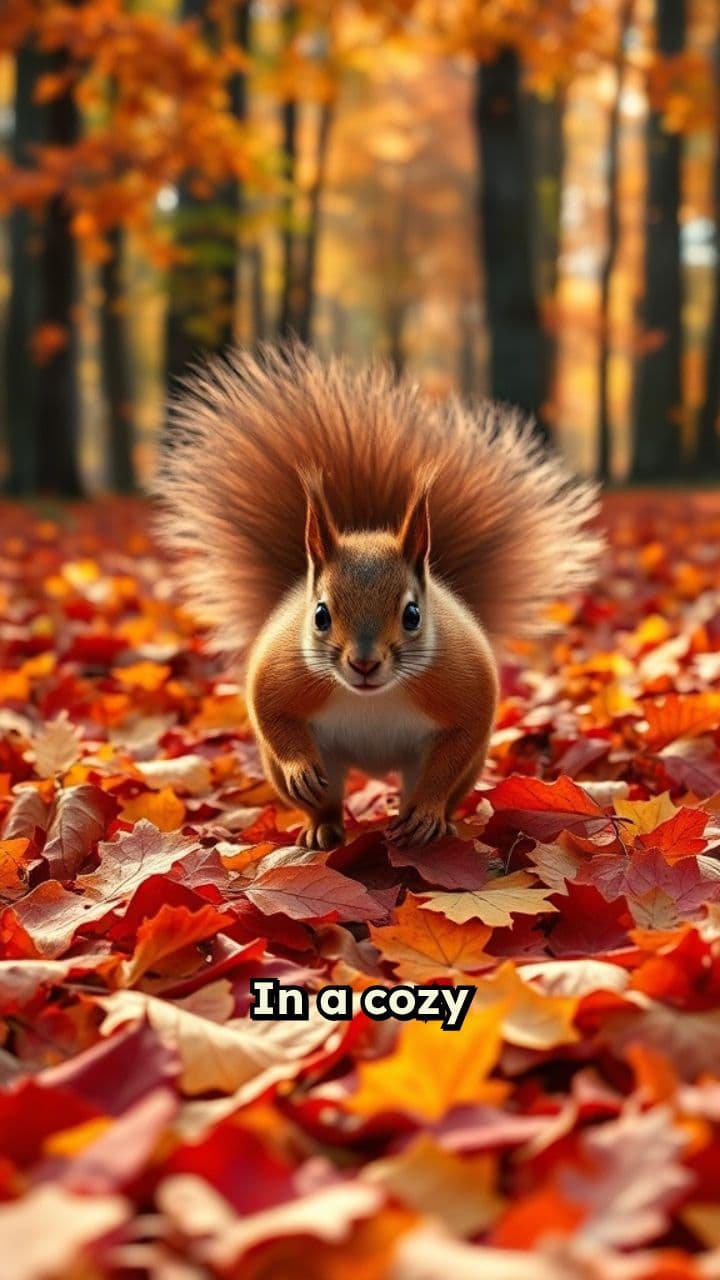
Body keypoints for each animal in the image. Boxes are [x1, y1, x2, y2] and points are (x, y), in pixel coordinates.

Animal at [156, 343, 602, 851]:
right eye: (320, 615)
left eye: (412, 614)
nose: (364, 663)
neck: (373, 697)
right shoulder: (279, 676)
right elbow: (272, 715)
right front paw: (300, 769)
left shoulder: (465, 689)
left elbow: (457, 746)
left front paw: (426, 810)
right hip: (325, 764)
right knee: (326, 797)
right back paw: (321, 827)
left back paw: (435, 822)